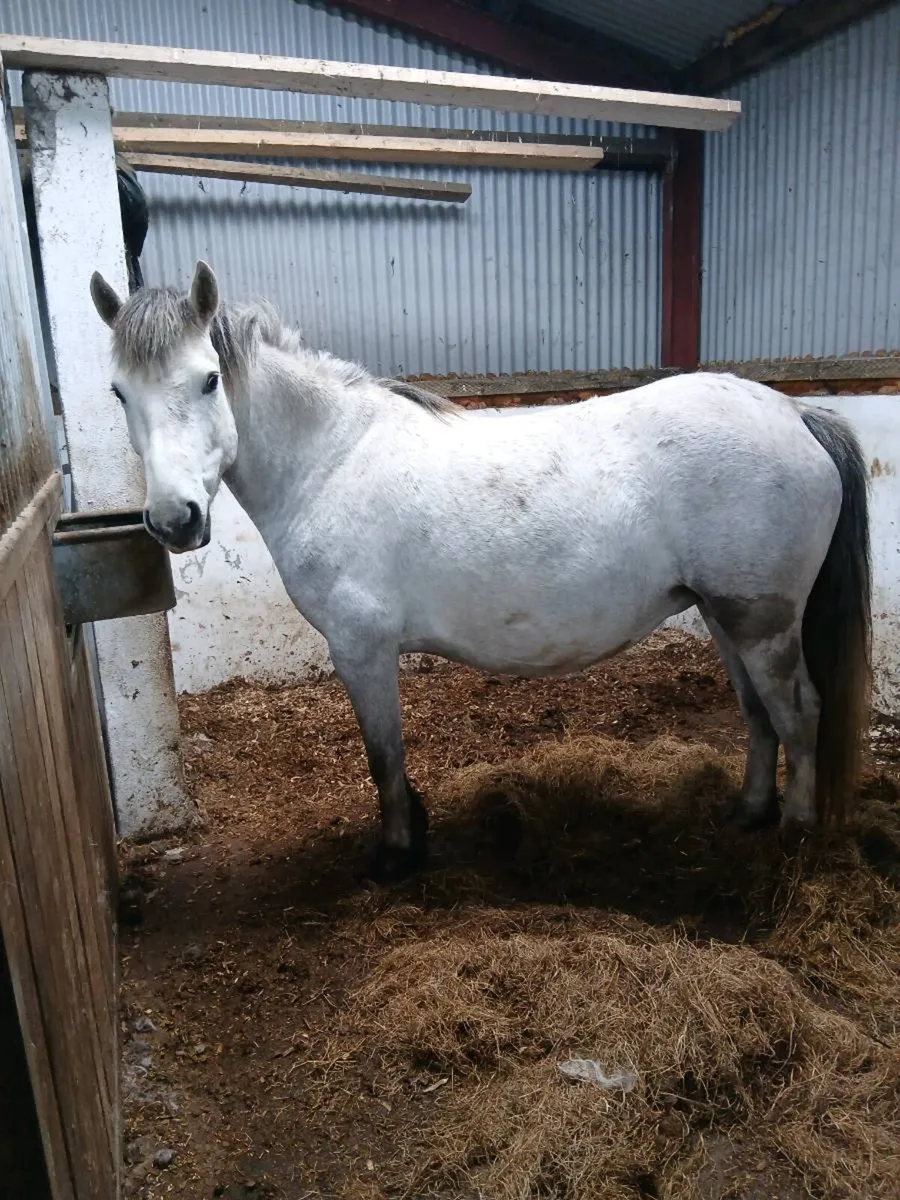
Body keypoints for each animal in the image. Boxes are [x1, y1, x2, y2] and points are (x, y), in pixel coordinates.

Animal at [89, 261, 872, 881]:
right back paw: (748, 815)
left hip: (761, 621)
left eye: (209, 380)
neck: (332, 458)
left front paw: (397, 854)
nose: (175, 520)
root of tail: (796, 413)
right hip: (723, 614)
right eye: (120, 393)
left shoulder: (361, 649)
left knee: (798, 712)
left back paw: (795, 836)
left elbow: (383, 756)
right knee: (759, 715)